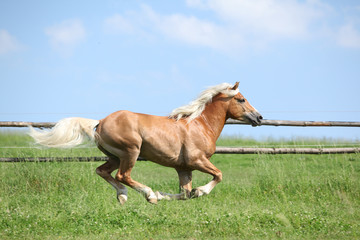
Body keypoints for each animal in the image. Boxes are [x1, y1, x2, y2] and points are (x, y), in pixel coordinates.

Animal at [29, 81, 262, 203]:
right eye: (241, 99)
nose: (259, 117)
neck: (199, 124)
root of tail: (100, 122)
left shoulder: (183, 168)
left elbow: (184, 193)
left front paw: (165, 195)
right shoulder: (197, 160)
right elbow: (218, 175)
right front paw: (198, 191)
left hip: (115, 156)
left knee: (102, 171)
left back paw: (123, 196)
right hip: (131, 151)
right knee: (123, 175)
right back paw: (148, 194)